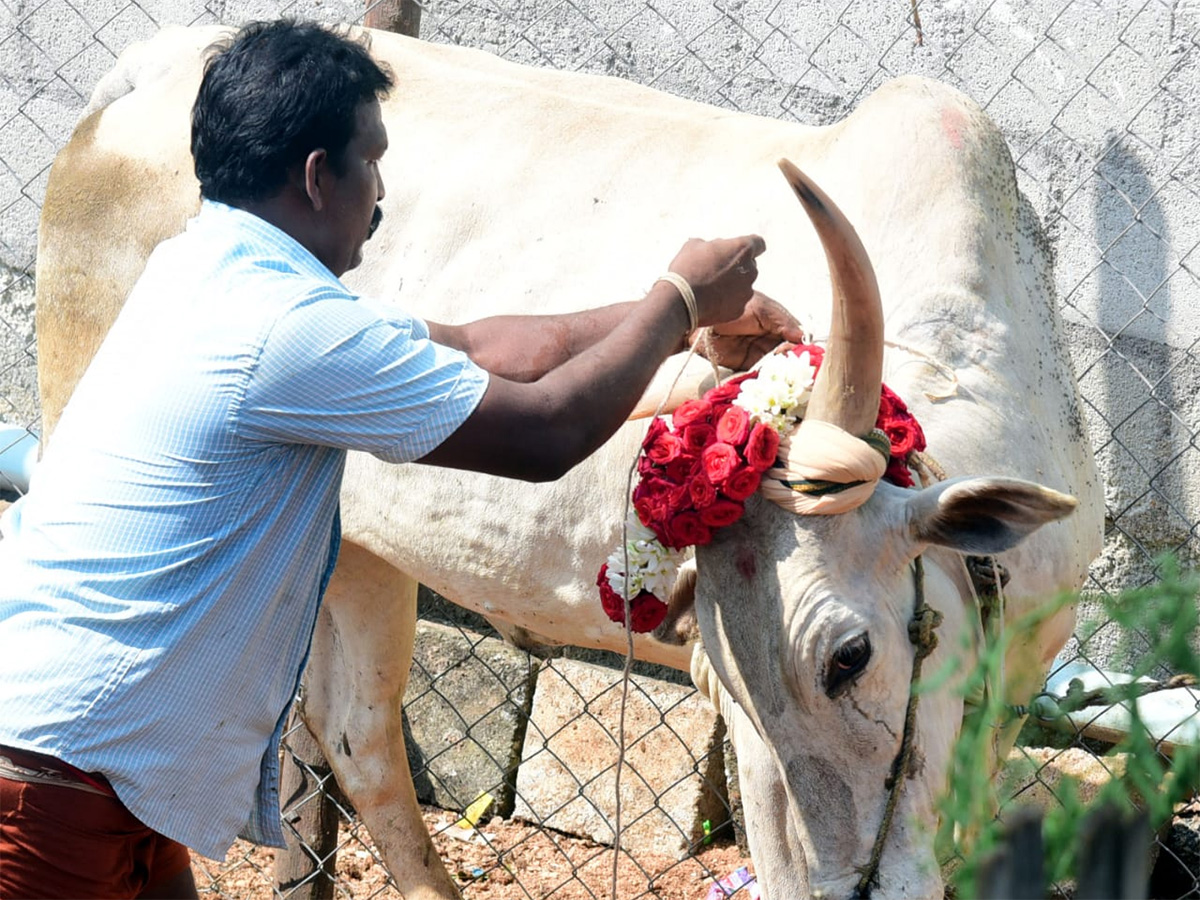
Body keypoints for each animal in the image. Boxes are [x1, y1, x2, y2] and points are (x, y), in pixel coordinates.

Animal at [35, 21, 1104, 900]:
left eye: (852, 657)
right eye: (716, 676)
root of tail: (151, 65)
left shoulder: (1014, 690)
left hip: (358, 549)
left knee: (356, 735)